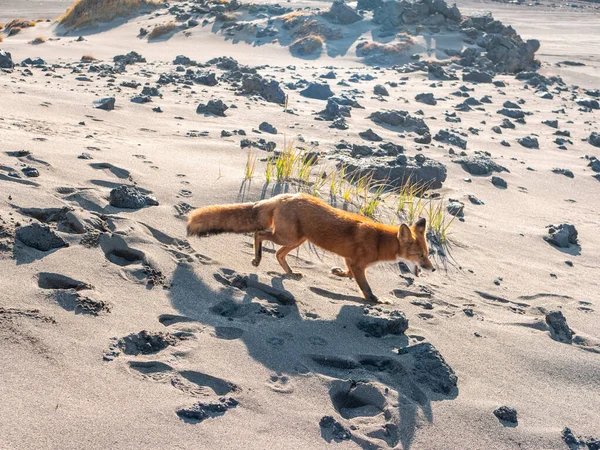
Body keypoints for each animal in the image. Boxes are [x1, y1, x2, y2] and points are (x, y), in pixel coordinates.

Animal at [188, 192, 436, 304]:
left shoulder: (351, 261)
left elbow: (348, 274)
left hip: (297, 240)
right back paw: (257, 259)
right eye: (420, 255)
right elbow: (365, 288)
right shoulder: (358, 264)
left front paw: (336, 272)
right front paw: (377, 301)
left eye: (428, 255)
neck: (379, 240)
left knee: (278, 254)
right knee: (259, 234)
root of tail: (282, 196)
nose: (432, 269)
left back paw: (290, 273)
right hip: (286, 236)